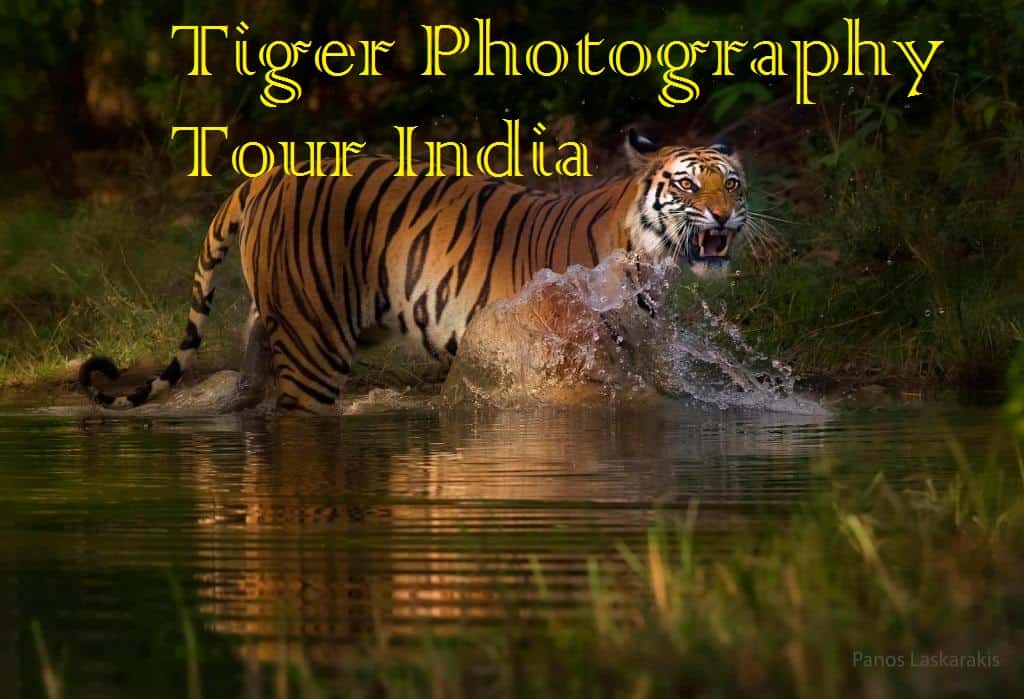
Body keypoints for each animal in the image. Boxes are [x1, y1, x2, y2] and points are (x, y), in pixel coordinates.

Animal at [79, 130, 747, 413]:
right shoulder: (565, 363)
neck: (651, 261)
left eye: (732, 182)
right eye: (689, 184)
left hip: (270, 327)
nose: (725, 214)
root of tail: (266, 172)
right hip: (314, 341)